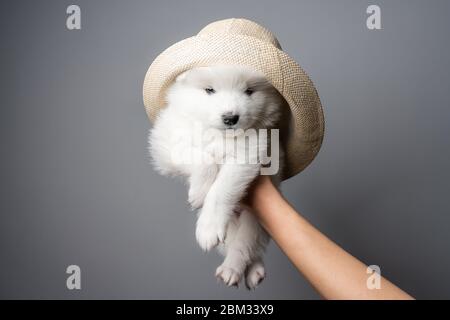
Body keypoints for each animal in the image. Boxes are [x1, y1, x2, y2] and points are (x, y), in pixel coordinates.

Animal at [150, 65, 284, 290]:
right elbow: (202, 158)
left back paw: (234, 269)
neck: (220, 136)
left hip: (257, 218)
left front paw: (208, 228)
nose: (230, 118)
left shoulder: (248, 154)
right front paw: (199, 192)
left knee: (246, 243)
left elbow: (222, 189)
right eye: (209, 90)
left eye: (249, 91)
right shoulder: (168, 143)